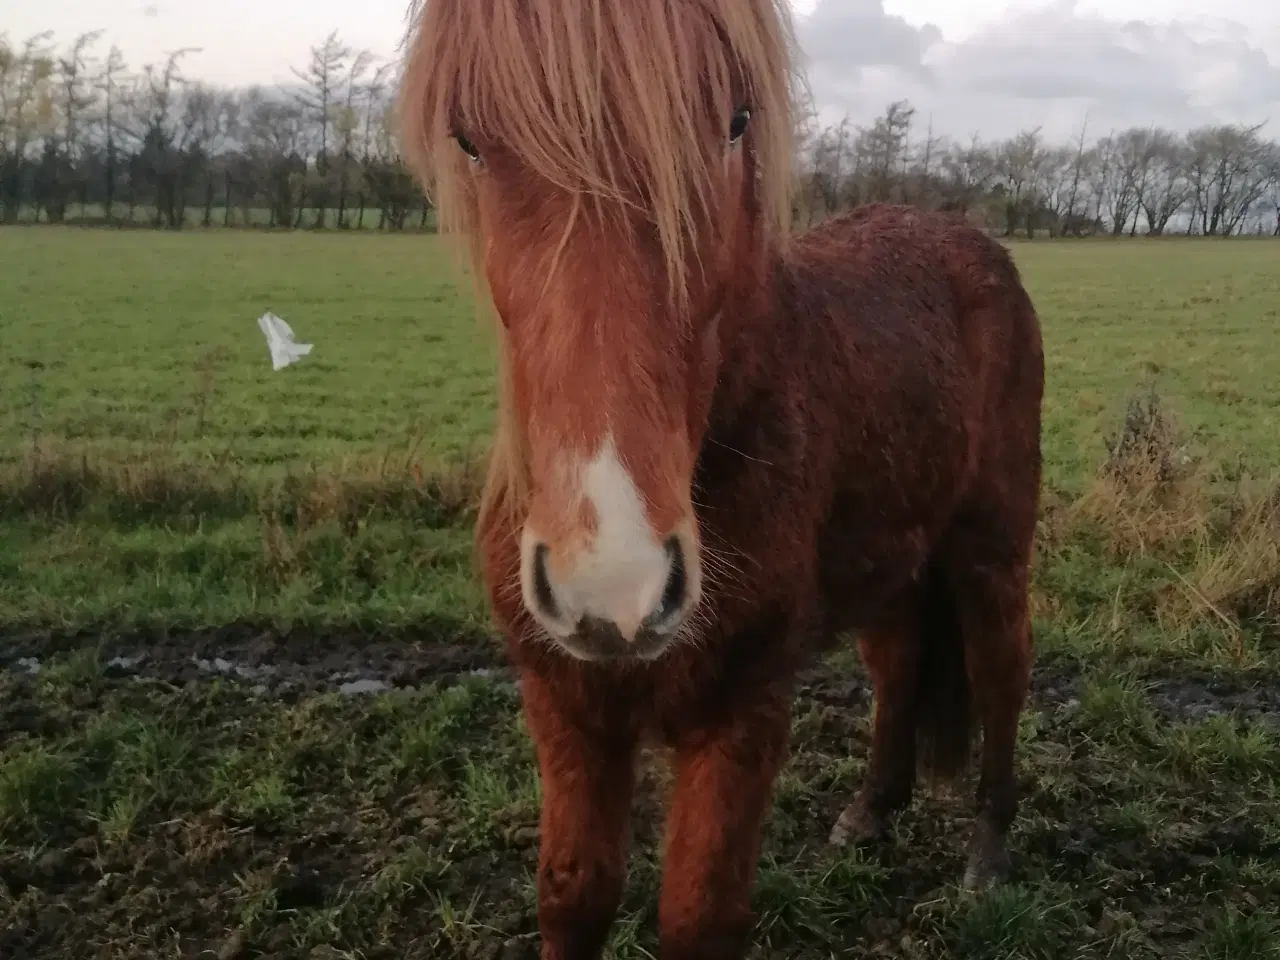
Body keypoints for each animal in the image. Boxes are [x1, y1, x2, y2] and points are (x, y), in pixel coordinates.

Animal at [399, 0, 1039, 957]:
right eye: (470, 139)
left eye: (736, 120)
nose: (616, 583)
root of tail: (965, 237)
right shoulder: (565, 706)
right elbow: (573, 896)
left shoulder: (743, 711)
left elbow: (700, 914)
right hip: (892, 560)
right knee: (898, 663)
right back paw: (870, 813)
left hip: (991, 543)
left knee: (1001, 666)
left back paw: (990, 854)